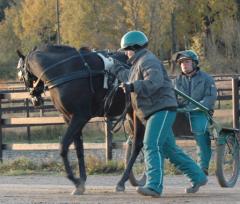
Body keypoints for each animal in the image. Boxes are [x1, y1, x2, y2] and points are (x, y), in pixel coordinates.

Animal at [16, 44, 145, 194]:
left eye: (21, 74)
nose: (35, 100)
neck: (66, 70)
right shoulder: (69, 117)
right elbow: (79, 147)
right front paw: (81, 181)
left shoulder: (80, 116)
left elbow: (63, 146)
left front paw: (75, 180)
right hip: (130, 111)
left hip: (137, 112)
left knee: (137, 144)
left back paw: (122, 181)